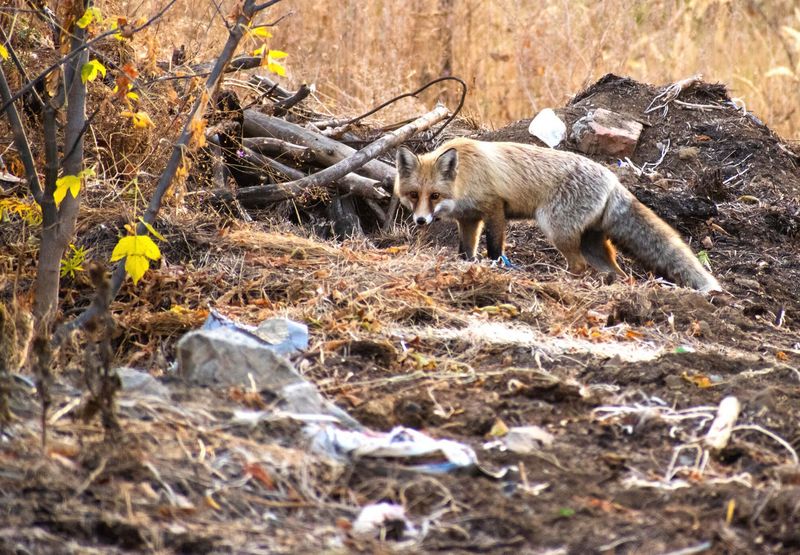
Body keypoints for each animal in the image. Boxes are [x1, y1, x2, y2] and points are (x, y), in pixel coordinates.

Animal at [396, 139, 720, 294]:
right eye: (413, 195)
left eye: (434, 196)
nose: (421, 221)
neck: (465, 176)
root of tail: (612, 179)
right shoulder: (469, 219)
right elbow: (466, 251)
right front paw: (467, 265)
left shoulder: (494, 208)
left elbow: (495, 249)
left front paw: (495, 268)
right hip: (592, 243)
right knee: (619, 272)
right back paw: (612, 285)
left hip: (556, 230)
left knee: (578, 266)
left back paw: (560, 280)